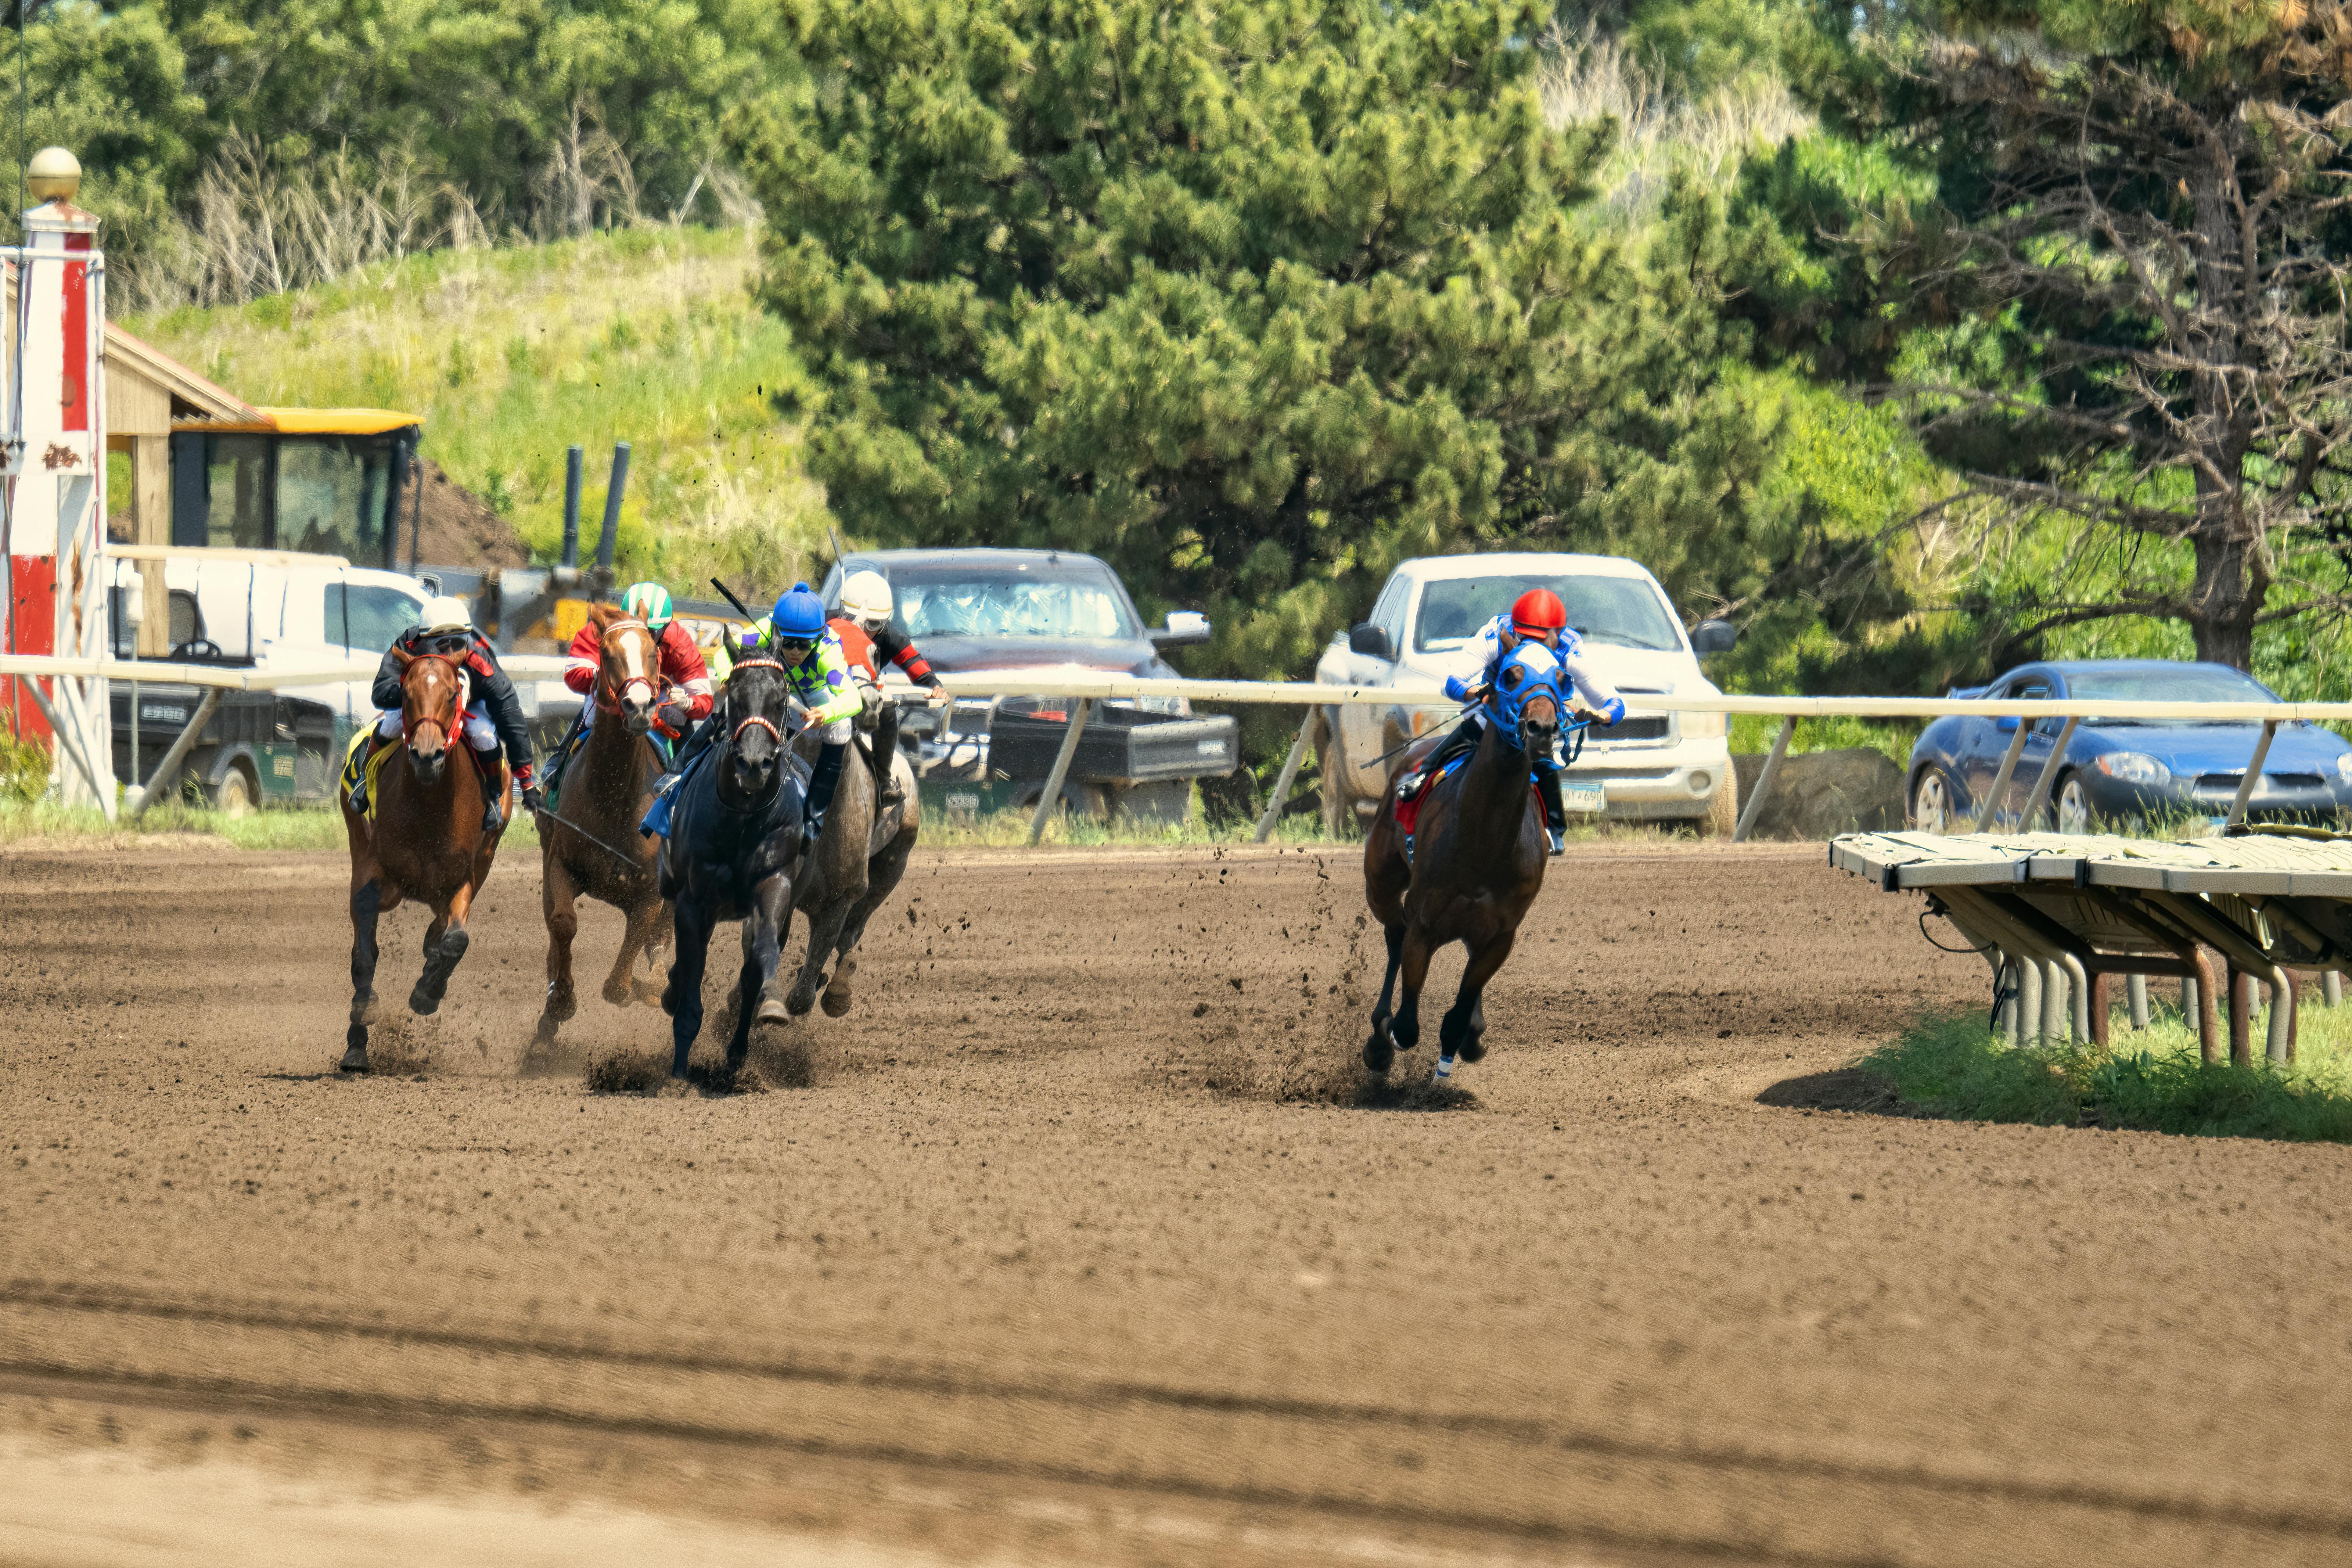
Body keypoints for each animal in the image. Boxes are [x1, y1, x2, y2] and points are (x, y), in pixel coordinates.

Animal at [336, 644, 506, 1072]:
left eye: (452, 693)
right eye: (406, 693)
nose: (427, 756)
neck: (429, 807)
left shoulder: (461, 879)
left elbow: (457, 940)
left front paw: (427, 992)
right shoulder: (376, 873)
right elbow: (365, 952)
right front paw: (360, 1029)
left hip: (484, 858)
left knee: (443, 930)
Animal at [531, 606, 672, 1048]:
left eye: (654, 654)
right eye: (606, 655)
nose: (640, 706)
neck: (615, 797)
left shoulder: (651, 892)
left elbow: (620, 984)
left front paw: (643, 988)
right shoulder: (561, 864)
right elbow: (562, 924)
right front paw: (561, 1000)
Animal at [1364, 644, 1561, 1086]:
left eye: (1562, 678)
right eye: (1510, 675)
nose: (1541, 729)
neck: (1483, 840)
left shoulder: (1500, 934)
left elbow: (1458, 1014)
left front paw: (1454, 1055)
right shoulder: (1424, 924)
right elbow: (1407, 1025)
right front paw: (1388, 1038)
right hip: (1380, 883)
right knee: (1394, 933)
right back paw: (1379, 1039)